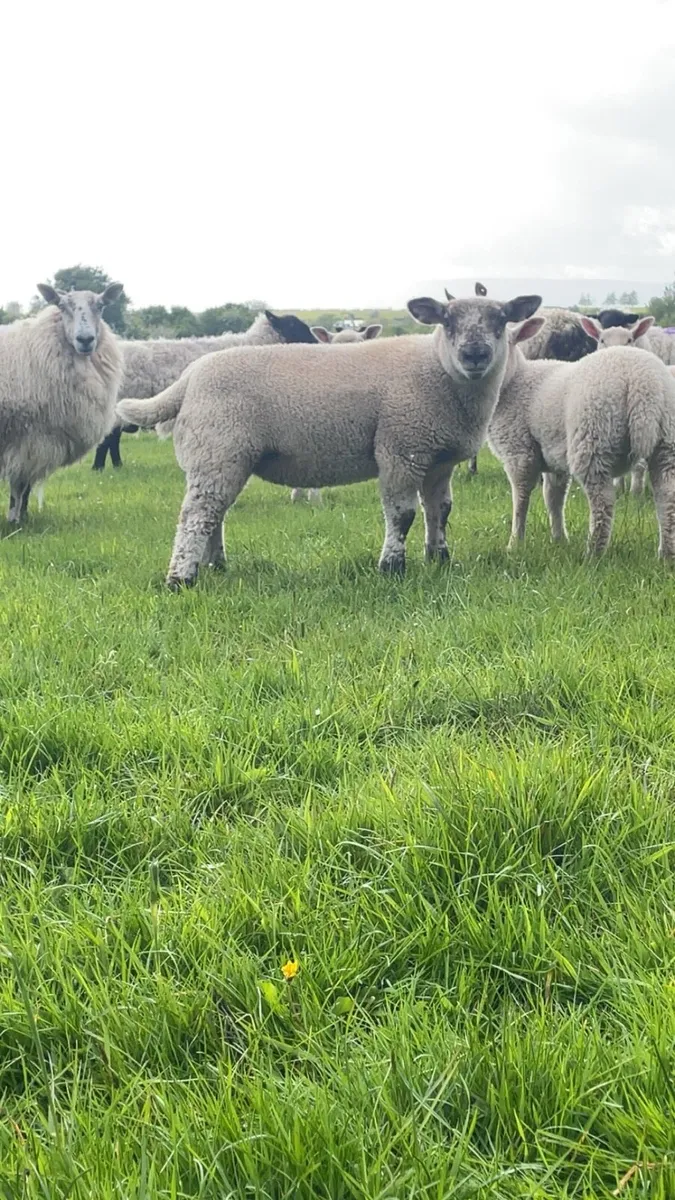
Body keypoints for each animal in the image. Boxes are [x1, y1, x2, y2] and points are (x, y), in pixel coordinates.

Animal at [0, 283, 123, 523]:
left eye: (101, 306)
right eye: (62, 306)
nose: (85, 339)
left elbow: (26, 486)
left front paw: (24, 517)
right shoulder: (28, 439)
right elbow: (19, 486)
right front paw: (15, 521)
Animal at [116, 290, 541, 588]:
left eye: (501, 319)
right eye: (448, 321)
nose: (474, 354)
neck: (440, 372)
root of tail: (189, 378)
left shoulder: (438, 459)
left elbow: (441, 510)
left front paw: (439, 558)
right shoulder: (400, 448)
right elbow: (402, 514)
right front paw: (392, 567)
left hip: (224, 457)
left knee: (213, 514)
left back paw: (215, 566)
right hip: (217, 449)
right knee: (196, 516)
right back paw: (181, 579)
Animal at [486, 316, 675, 558]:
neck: (514, 381)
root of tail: (643, 384)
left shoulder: (519, 452)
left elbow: (521, 498)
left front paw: (515, 544)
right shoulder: (553, 456)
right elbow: (554, 498)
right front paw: (559, 539)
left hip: (594, 438)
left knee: (603, 502)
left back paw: (593, 554)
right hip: (666, 441)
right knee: (666, 495)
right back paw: (666, 554)